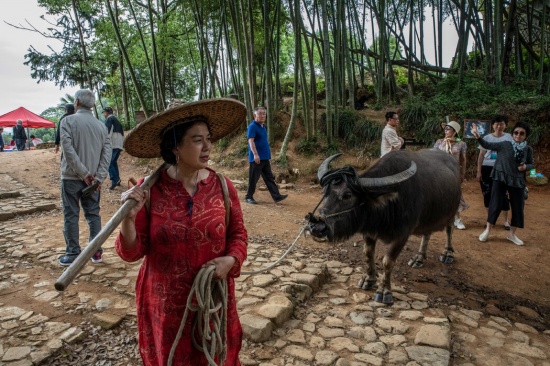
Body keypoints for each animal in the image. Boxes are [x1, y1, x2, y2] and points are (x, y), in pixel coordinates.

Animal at [308, 150, 464, 304]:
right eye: (324, 192)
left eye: (347, 195)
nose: (317, 227)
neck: (386, 206)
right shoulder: (369, 231)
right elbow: (367, 253)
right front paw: (368, 279)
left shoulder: (401, 236)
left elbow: (387, 261)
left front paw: (384, 291)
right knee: (427, 233)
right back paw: (418, 258)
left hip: (452, 210)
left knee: (449, 228)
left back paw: (447, 253)